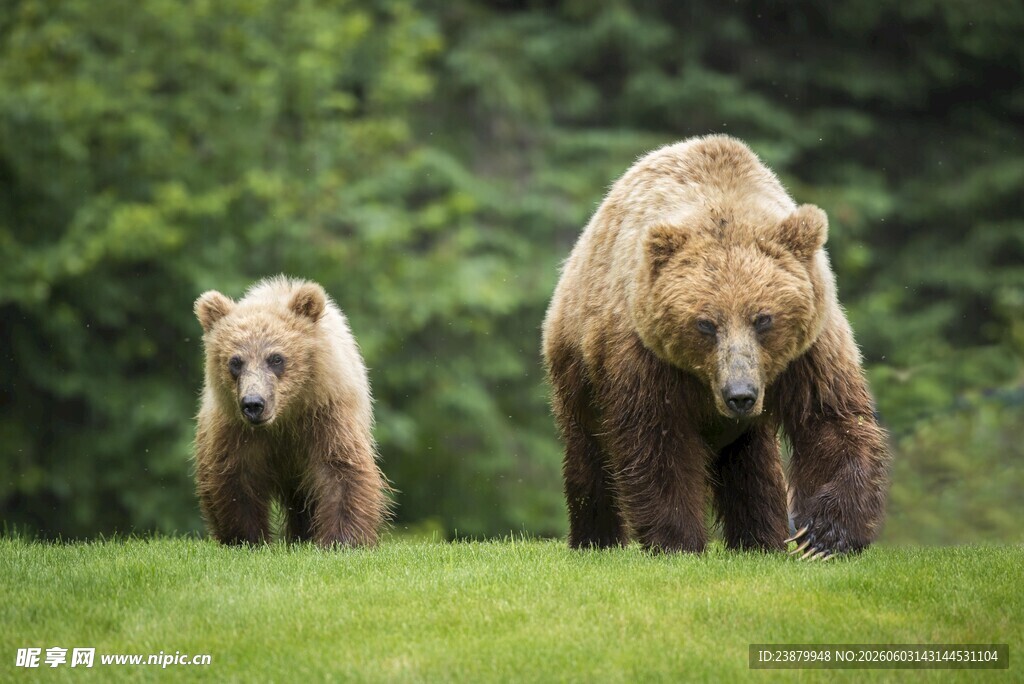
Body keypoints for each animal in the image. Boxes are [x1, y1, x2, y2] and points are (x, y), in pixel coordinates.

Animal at [193, 276, 389, 547]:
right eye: (235, 361)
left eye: (276, 358)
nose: (253, 404)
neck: (285, 416)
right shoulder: (235, 428)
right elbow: (237, 479)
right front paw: (247, 538)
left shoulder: (327, 415)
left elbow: (340, 469)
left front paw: (342, 539)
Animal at [542, 135, 891, 558]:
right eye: (706, 323)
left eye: (763, 318)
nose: (739, 394)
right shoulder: (646, 358)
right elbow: (657, 443)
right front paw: (677, 540)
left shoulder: (809, 350)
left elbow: (831, 419)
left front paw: (822, 537)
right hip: (578, 360)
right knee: (589, 450)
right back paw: (595, 538)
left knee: (753, 464)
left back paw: (761, 538)